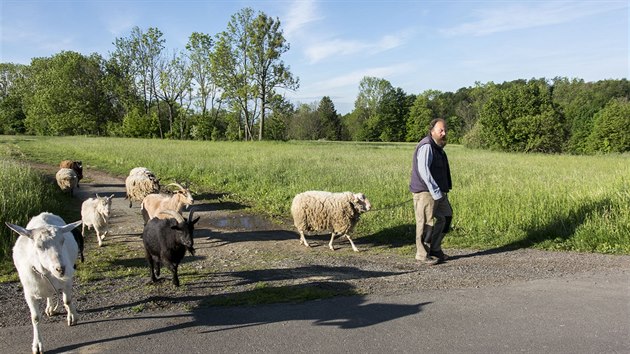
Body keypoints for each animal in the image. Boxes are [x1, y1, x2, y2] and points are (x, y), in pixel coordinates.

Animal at [5, 212, 82, 354]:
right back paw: (50, 307)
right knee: (49, 294)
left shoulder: (67, 280)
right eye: (39, 246)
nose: (60, 269)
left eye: (62, 241)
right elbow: (35, 318)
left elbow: (67, 301)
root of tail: (44, 214)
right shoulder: (29, 293)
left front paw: (72, 317)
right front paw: (37, 345)